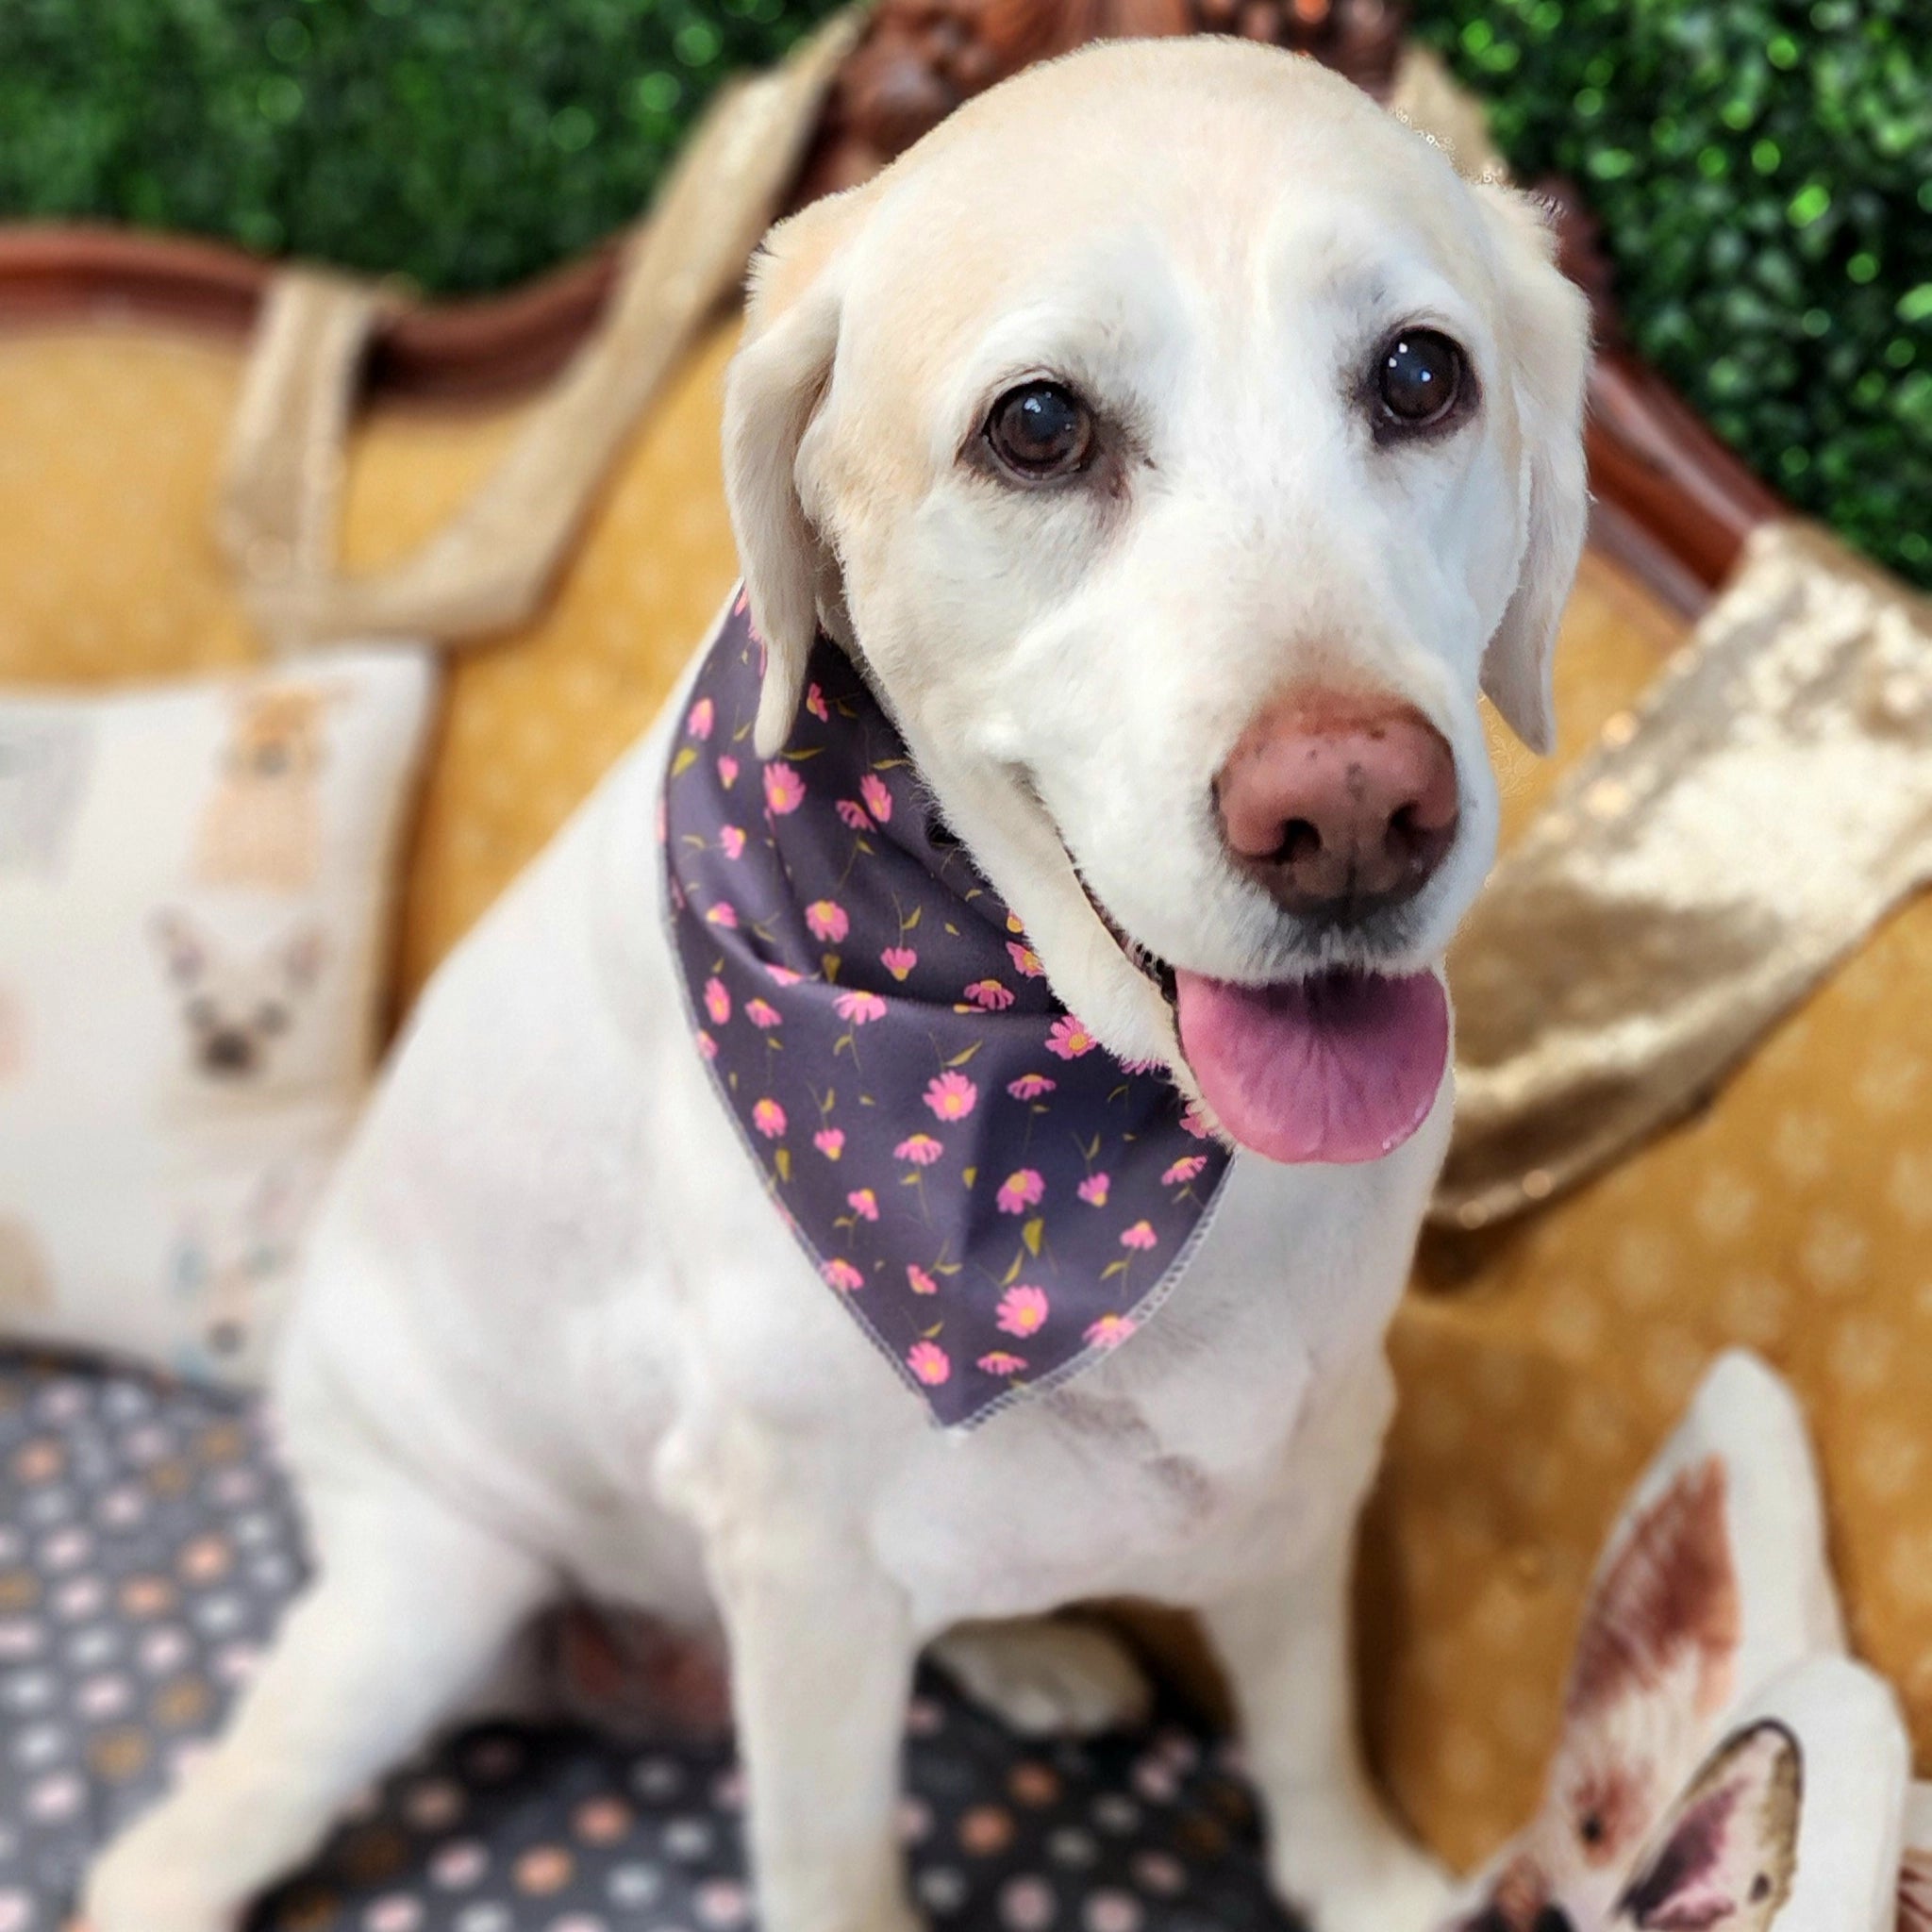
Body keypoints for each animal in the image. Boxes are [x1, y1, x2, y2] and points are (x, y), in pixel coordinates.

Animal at [85, 38, 1588, 1932]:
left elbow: (1309, 1722)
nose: (1353, 815)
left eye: (1418, 375)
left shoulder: (1309, 1442)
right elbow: (832, 1845)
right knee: (180, 1837)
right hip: (426, 1587)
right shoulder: (797, 1558)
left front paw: (1368, 1879)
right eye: (1038, 426)